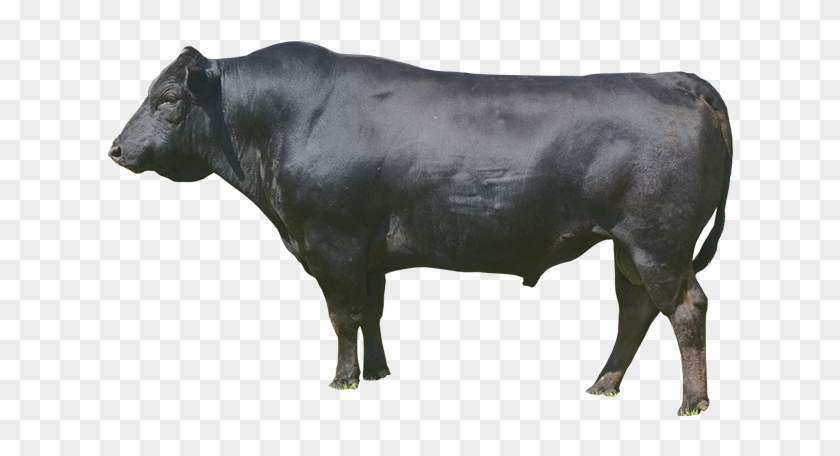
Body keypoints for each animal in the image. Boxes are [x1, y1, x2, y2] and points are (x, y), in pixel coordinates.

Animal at [108, 42, 732, 416]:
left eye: (167, 98)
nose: (115, 149)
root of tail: (678, 78)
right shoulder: (368, 253)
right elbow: (371, 312)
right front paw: (378, 373)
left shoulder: (333, 241)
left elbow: (343, 315)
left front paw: (344, 380)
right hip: (629, 246)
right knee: (636, 311)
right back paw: (604, 384)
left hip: (658, 242)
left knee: (685, 309)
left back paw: (692, 403)